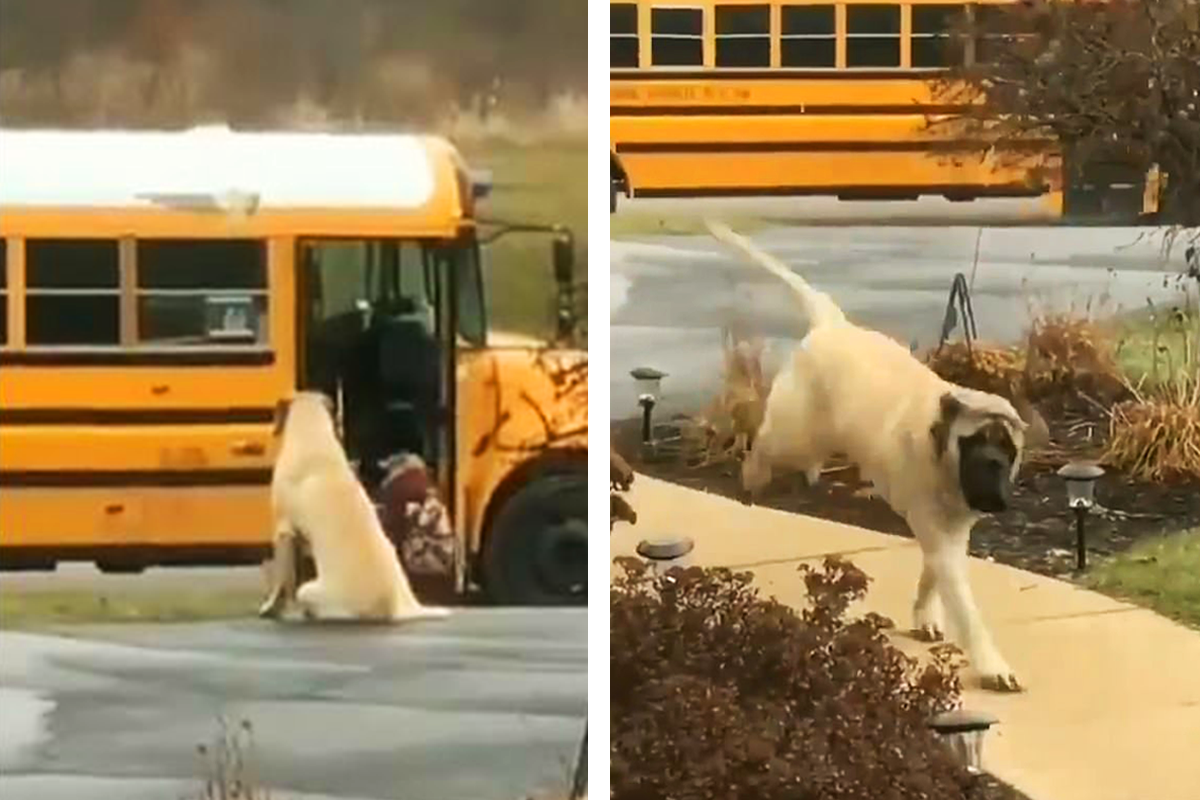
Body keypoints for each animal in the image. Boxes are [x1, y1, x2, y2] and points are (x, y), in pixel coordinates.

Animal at [259, 393, 451, 623]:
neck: (313, 432)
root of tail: (395, 606)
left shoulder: (284, 529)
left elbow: (282, 578)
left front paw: (272, 607)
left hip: (309, 591)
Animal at [710, 221, 1041, 690]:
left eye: (1008, 450)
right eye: (976, 445)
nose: (994, 493)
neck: (941, 445)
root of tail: (833, 323)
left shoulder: (951, 530)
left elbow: (934, 574)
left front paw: (925, 614)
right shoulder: (938, 527)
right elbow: (962, 601)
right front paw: (992, 664)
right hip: (798, 430)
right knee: (765, 444)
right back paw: (753, 477)